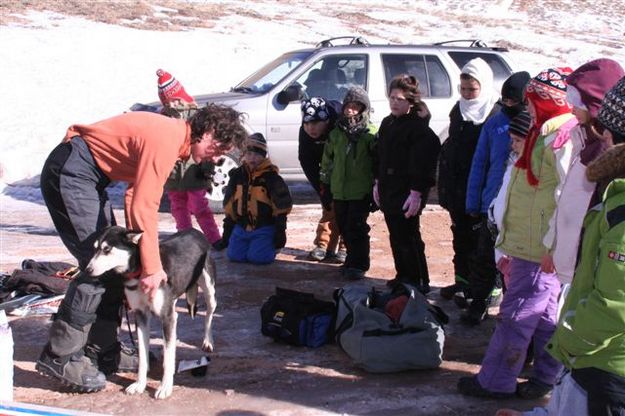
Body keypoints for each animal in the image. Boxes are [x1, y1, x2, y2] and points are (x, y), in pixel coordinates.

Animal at [84, 228, 217, 400]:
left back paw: (208, 341)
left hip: (209, 292)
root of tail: (194, 231)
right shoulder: (140, 316)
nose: (87, 270)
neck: (140, 271)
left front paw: (165, 387)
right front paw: (139, 385)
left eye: (107, 249)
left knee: (208, 316)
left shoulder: (167, 317)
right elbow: (142, 357)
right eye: (95, 249)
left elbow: (168, 359)